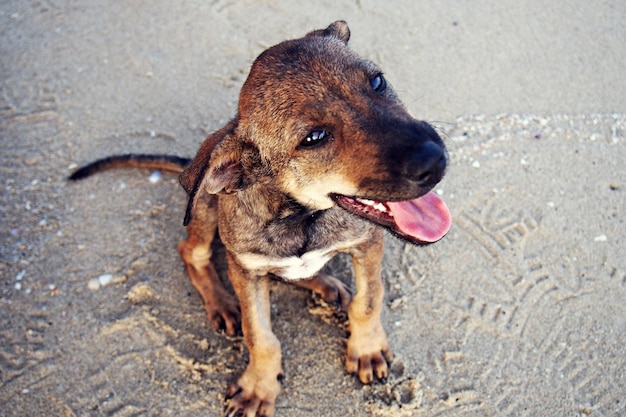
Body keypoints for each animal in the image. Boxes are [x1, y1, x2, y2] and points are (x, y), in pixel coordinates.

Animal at [70, 21, 450, 414]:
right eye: (314, 137)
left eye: (377, 81)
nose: (434, 160)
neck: (299, 217)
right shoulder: (246, 270)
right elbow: (261, 336)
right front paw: (258, 387)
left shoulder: (366, 243)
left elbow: (368, 301)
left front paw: (367, 349)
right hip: (207, 208)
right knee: (191, 252)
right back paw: (225, 304)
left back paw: (328, 286)